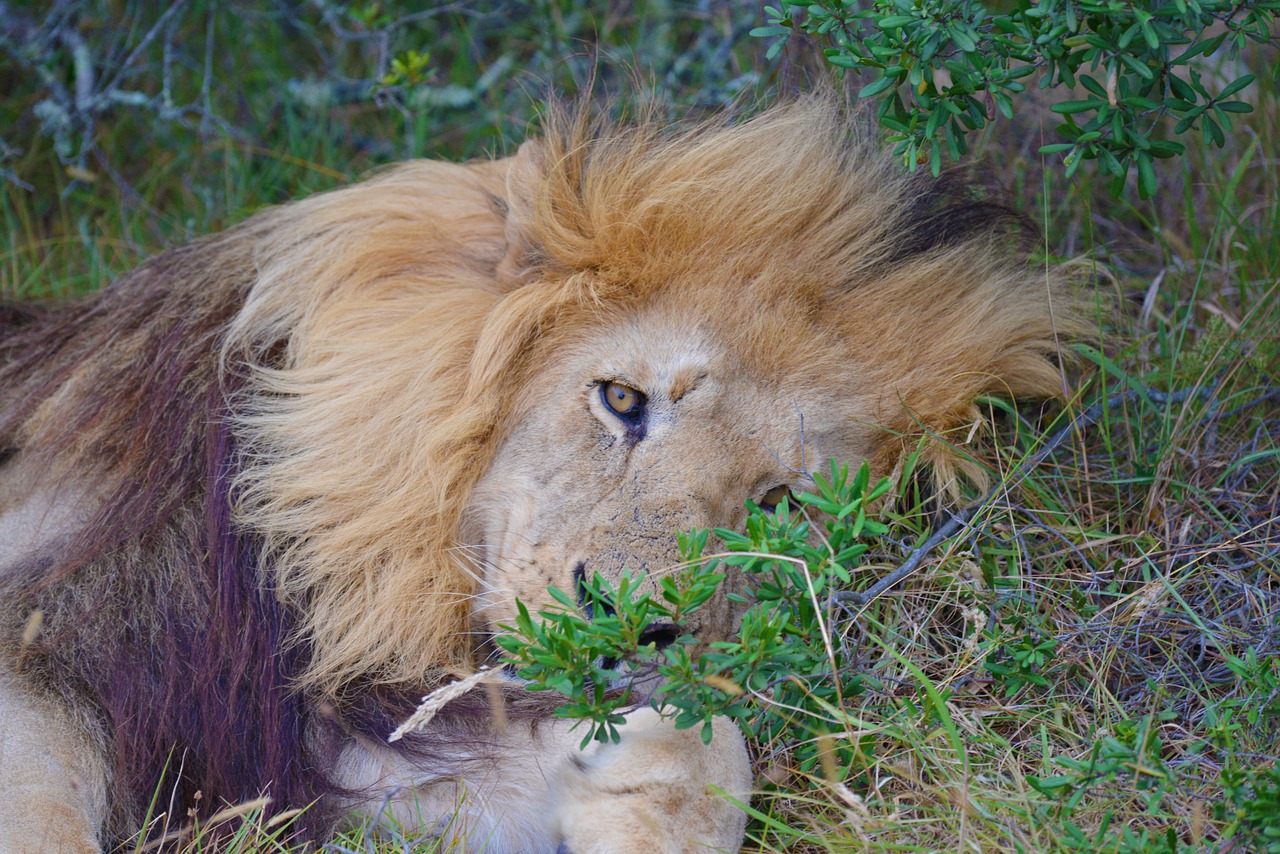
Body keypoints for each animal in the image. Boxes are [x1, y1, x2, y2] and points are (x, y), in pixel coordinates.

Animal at [0, 96, 1080, 850]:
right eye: (621, 399)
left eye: (775, 506)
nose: (623, 626)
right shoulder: (56, 649)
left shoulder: (396, 745)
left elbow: (705, 739)